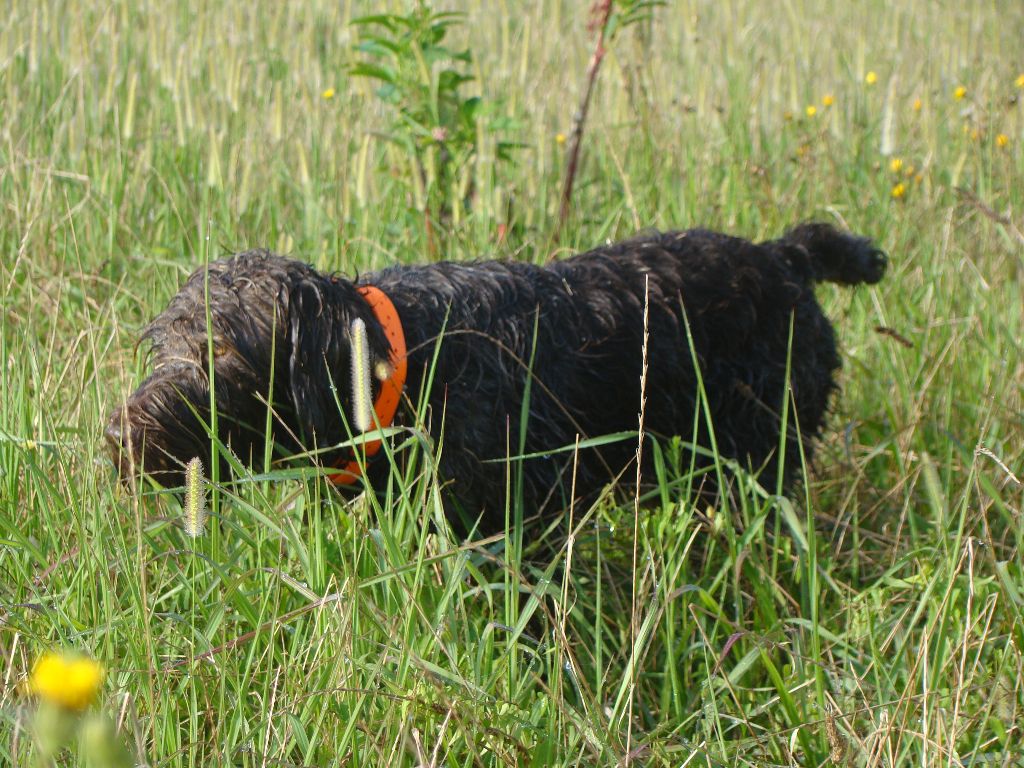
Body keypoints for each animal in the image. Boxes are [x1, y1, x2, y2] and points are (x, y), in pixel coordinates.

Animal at [108, 225, 884, 532]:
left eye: (225, 355)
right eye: (162, 344)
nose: (120, 436)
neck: (411, 363)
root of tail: (786, 257)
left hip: (760, 462)